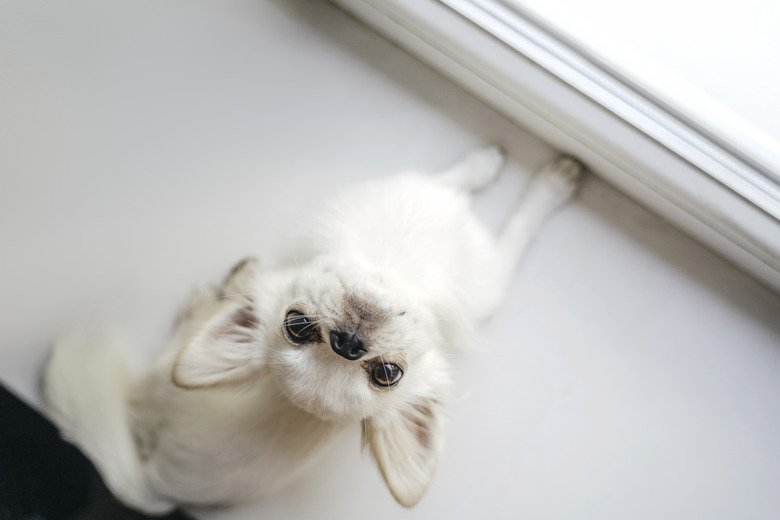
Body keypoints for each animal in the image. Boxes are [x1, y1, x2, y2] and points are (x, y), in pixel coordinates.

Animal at [41, 148, 580, 512]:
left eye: (386, 374)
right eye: (297, 327)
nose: (348, 342)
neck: (388, 264)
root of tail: (155, 483)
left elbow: (487, 203)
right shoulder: (475, 251)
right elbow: (501, 211)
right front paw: (525, 172)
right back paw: (222, 288)